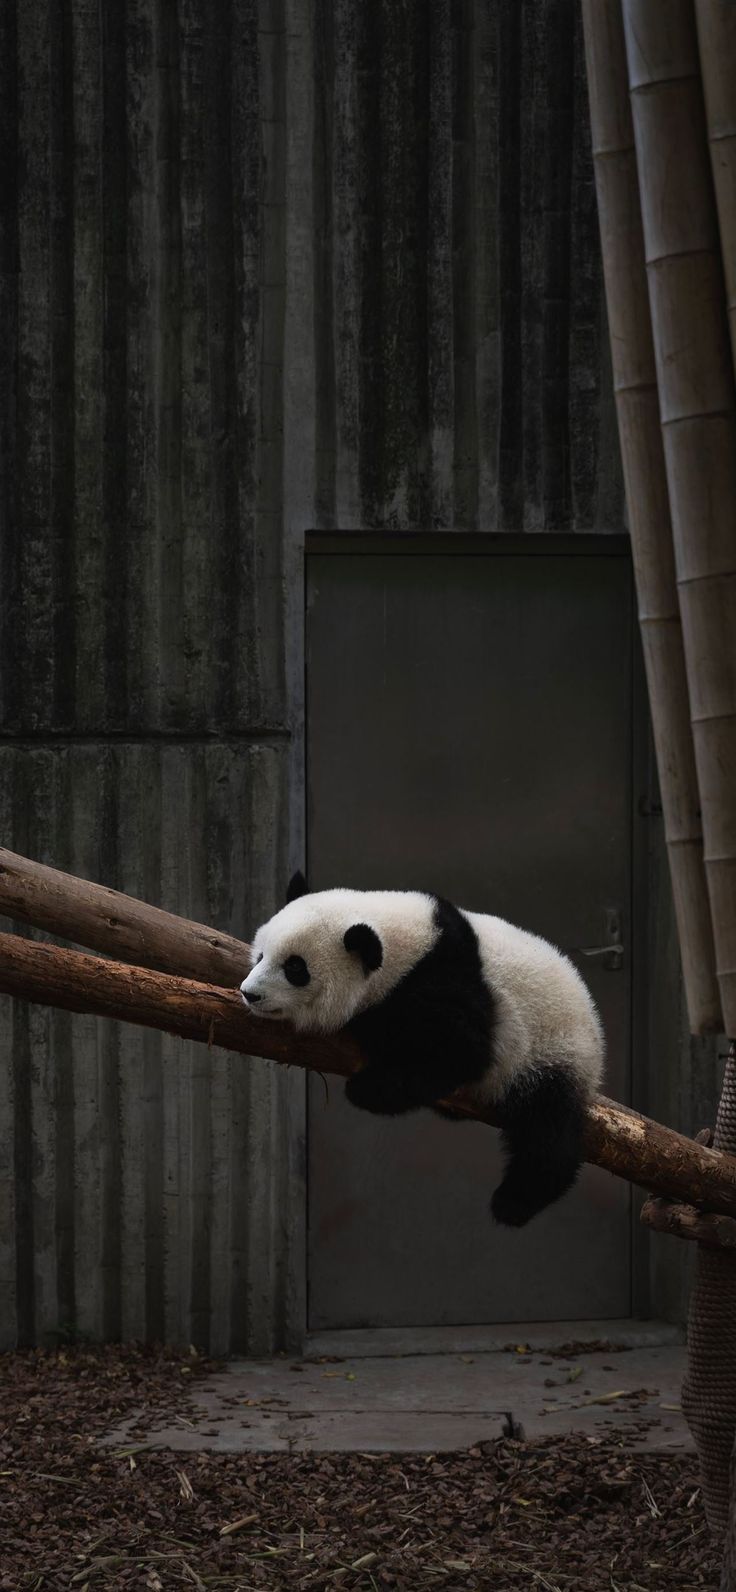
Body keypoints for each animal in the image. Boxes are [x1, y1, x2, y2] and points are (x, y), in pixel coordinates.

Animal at [240, 873, 604, 1228]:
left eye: (295, 968)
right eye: (261, 955)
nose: (249, 993)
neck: (409, 946)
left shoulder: (444, 982)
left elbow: (460, 1052)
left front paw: (367, 1083)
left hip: (551, 1051)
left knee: (547, 1130)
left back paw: (515, 1201)